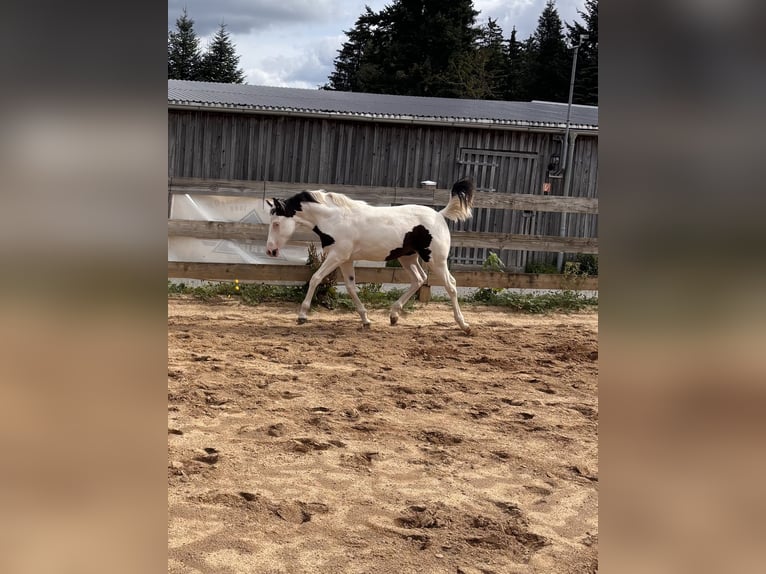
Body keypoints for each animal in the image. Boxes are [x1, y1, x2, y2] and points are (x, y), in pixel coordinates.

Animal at [265, 178, 475, 333]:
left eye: (276, 223)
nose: (270, 251)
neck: (335, 219)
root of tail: (439, 215)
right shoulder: (346, 260)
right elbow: (350, 287)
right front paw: (366, 319)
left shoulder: (337, 256)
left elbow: (315, 278)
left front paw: (302, 316)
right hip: (407, 258)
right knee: (419, 279)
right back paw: (394, 315)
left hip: (435, 260)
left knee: (451, 285)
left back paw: (464, 325)